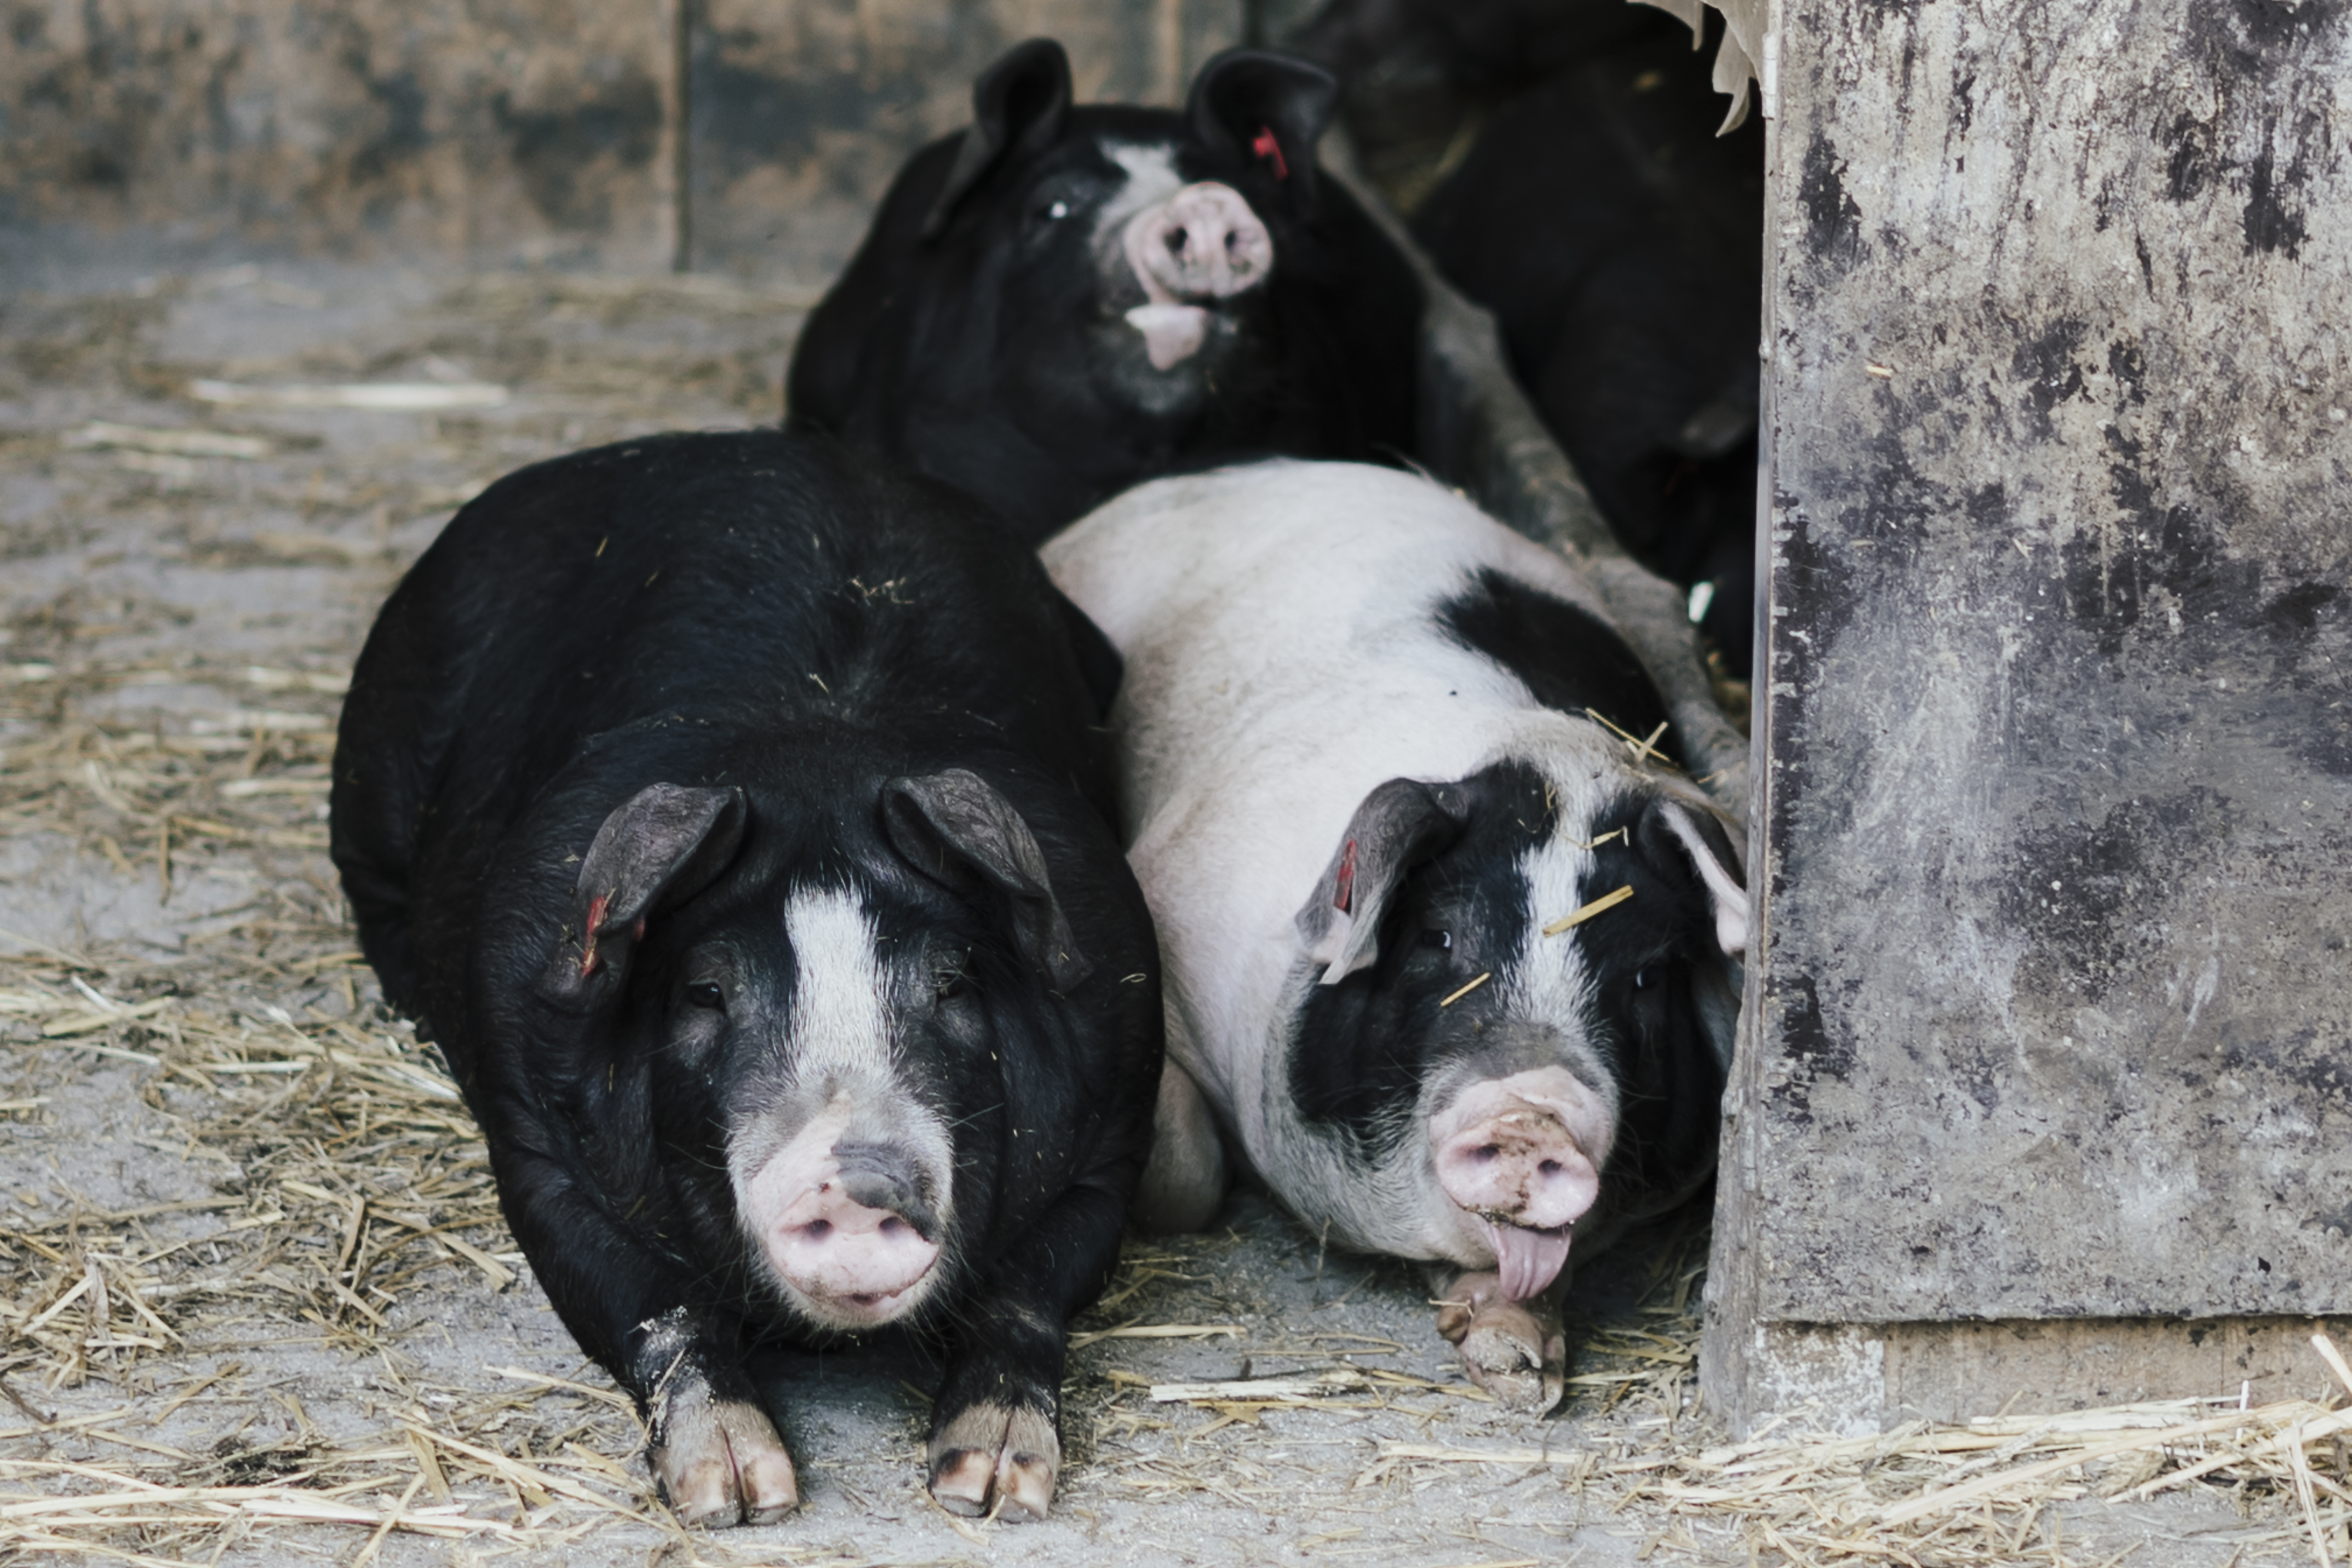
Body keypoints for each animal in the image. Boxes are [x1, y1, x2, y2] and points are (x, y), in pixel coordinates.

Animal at [327, 432, 1171, 1533]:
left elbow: (1029, 1292)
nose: (860, 1179)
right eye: (705, 993)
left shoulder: (1116, 1122)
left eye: (952, 984)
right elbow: (655, 1303)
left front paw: (985, 1487)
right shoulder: (532, 1132)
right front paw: (737, 1495)